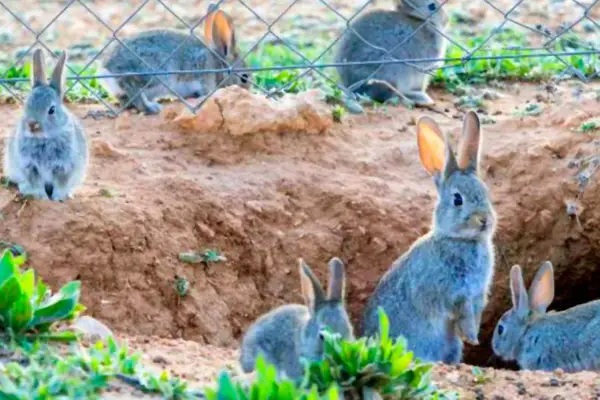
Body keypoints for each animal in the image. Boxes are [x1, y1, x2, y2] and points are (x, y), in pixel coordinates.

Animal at [2, 48, 89, 202]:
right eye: (27, 105)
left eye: (51, 110)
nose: (32, 125)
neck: (44, 138)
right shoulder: (30, 167)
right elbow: (36, 184)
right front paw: (41, 198)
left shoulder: (64, 167)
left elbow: (61, 184)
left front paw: (58, 199)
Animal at [102, 5, 252, 115]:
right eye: (244, 78)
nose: (248, 91)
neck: (219, 66)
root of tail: (107, 68)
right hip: (157, 74)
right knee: (131, 84)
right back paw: (151, 108)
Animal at [360, 111, 496, 364]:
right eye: (457, 199)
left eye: (486, 193)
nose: (484, 220)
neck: (462, 240)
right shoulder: (453, 292)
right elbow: (462, 312)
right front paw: (470, 336)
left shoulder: (478, 294)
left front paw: (473, 338)